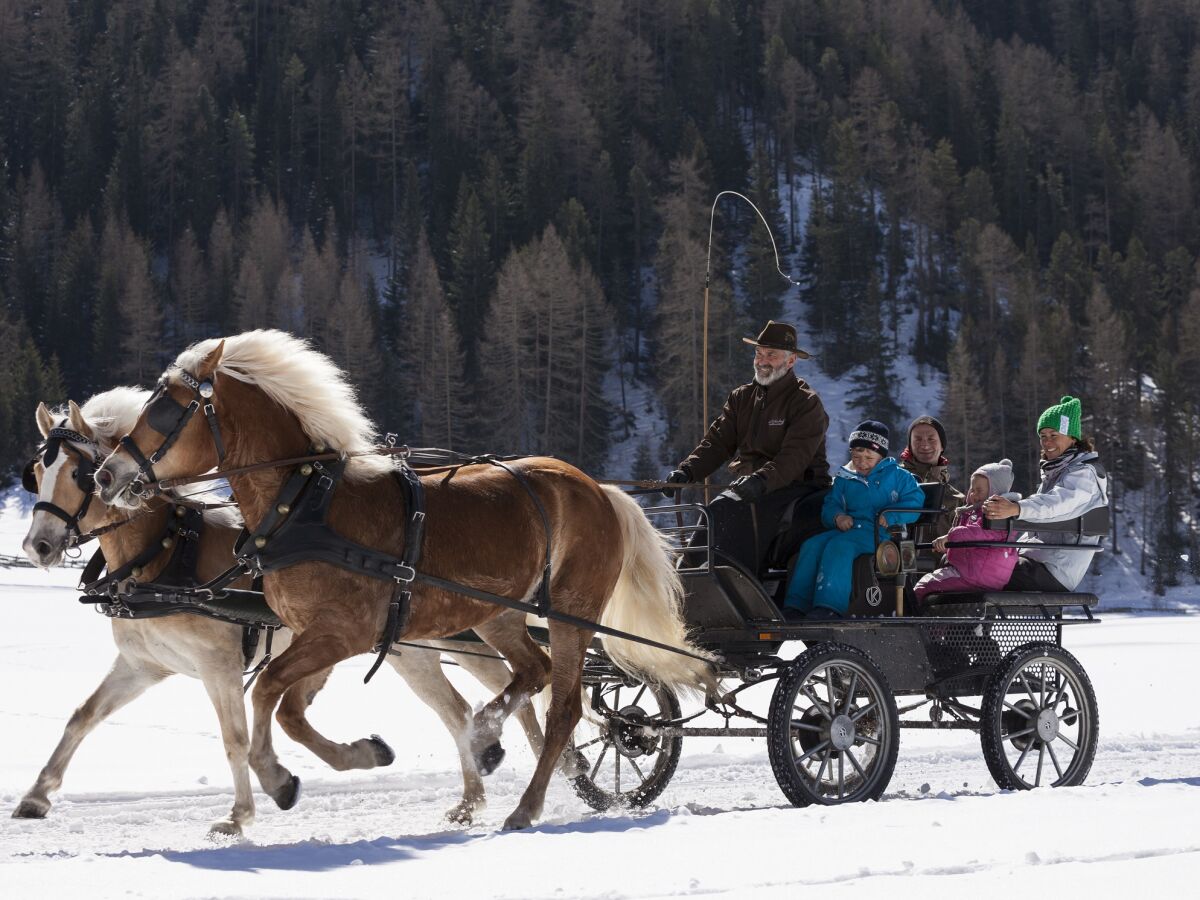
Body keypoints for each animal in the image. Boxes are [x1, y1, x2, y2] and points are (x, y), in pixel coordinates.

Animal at [17, 391, 544, 835]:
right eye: (37, 474)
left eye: (79, 475)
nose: (37, 545)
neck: (165, 554)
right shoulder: (143, 665)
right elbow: (83, 716)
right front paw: (37, 795)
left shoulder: (220, 666)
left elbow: (235, 737)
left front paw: (241, 814)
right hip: (409, 651)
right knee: (461, 711)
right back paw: (488, 787)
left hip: (464, 638)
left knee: (524, 688)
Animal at [96, 331, 710, 830]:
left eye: (165, 410)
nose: (108, 475)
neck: (306, 504)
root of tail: (597, 487)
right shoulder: (320, 637)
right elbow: (290, 709)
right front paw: (358, 755)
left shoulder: (342, 634)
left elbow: (270, 691)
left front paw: (275, 777)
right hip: (500, 613)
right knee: (530, 674)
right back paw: (488, 739)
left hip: (570, 614)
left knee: (564, 708)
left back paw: (519, 796)